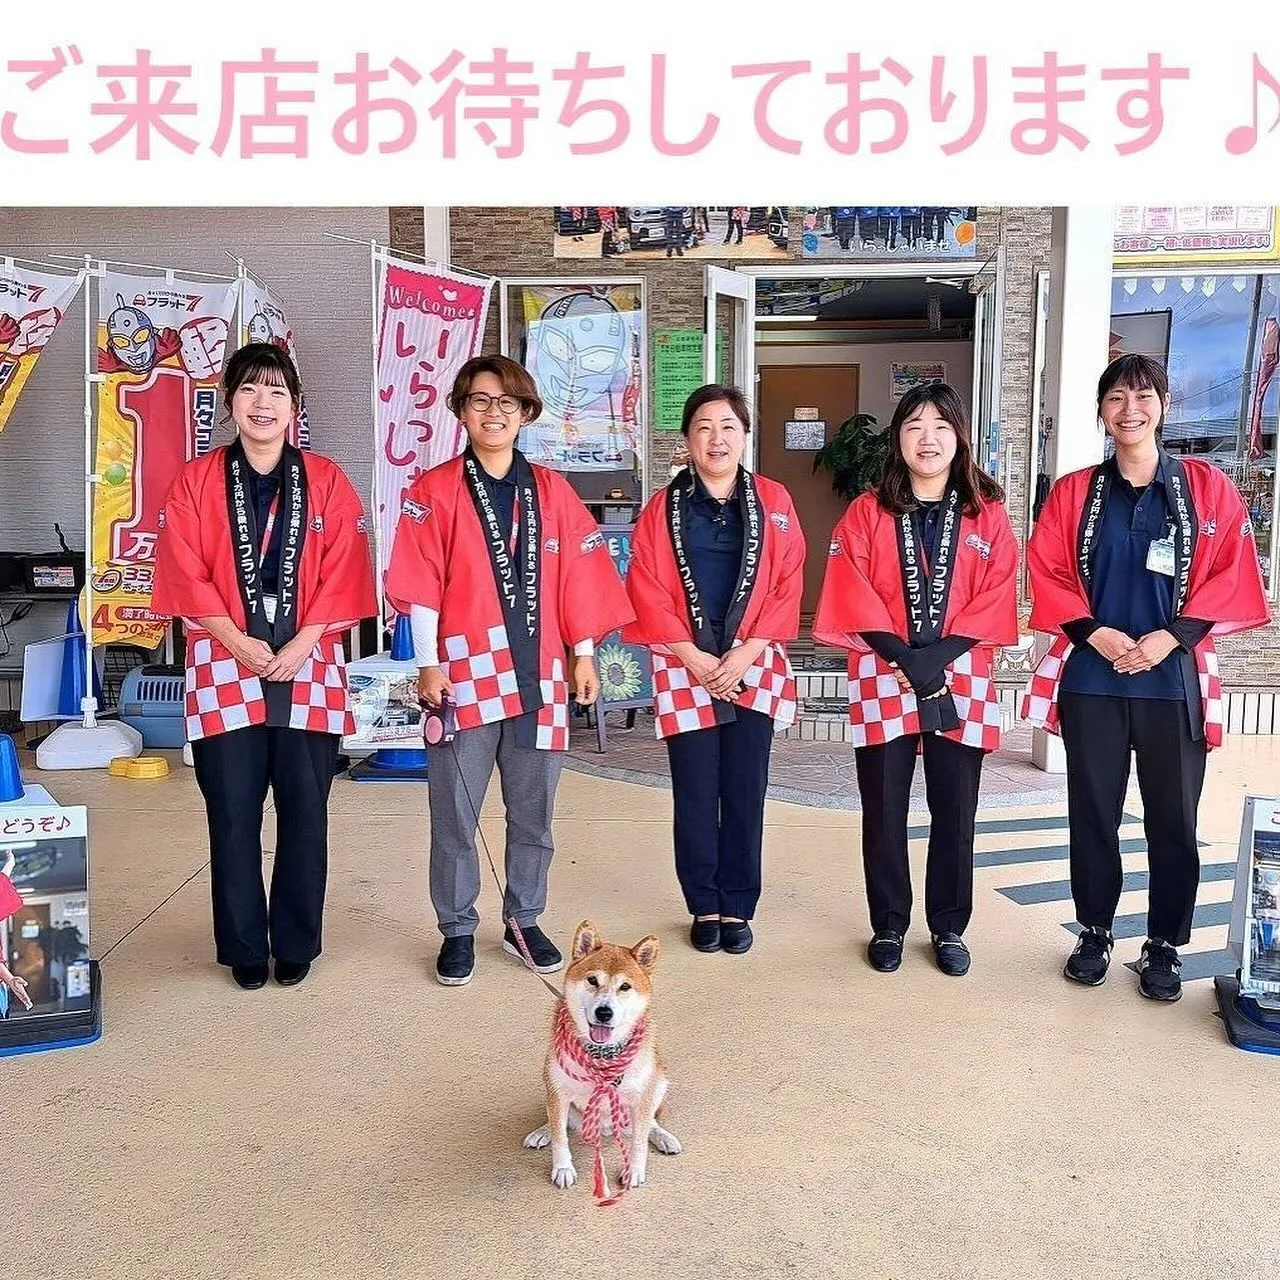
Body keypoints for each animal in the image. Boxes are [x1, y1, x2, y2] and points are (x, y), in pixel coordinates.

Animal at [522, 921, 680, 1198]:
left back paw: (664, 1137)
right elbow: (560, 1136)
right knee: (558, 1122)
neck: (602, 1054)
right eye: (592, 980)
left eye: (625, 987)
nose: (604, 1012)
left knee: (650, 1123)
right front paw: (563, 1168)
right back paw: (542, 1132)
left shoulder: (643, 1096)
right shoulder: (558, 1091)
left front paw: (634, 1170)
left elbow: (639, 1141)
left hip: (659, 1083)